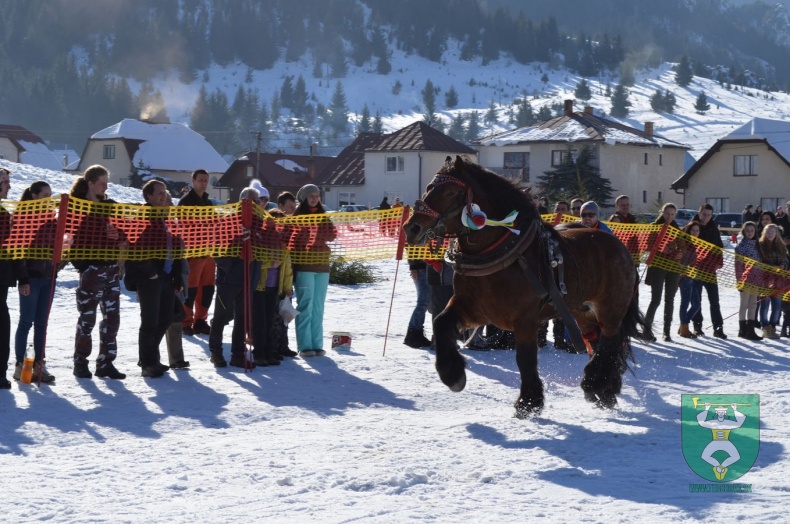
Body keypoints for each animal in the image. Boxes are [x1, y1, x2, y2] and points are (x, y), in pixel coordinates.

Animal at [406, 156, 648, 418]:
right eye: (429, 187)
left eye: (450, 191)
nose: (412, 228)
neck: (499, 253)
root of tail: (621, 248)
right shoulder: (474, 309)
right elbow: (441, 323)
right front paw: (452, 374)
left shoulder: (524, 319)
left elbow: (525, 358)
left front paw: (529, 402)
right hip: (582, 312)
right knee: (597, 341)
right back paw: (603, 389)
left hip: (610, 309)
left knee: (610, 343)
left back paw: (595, 384)